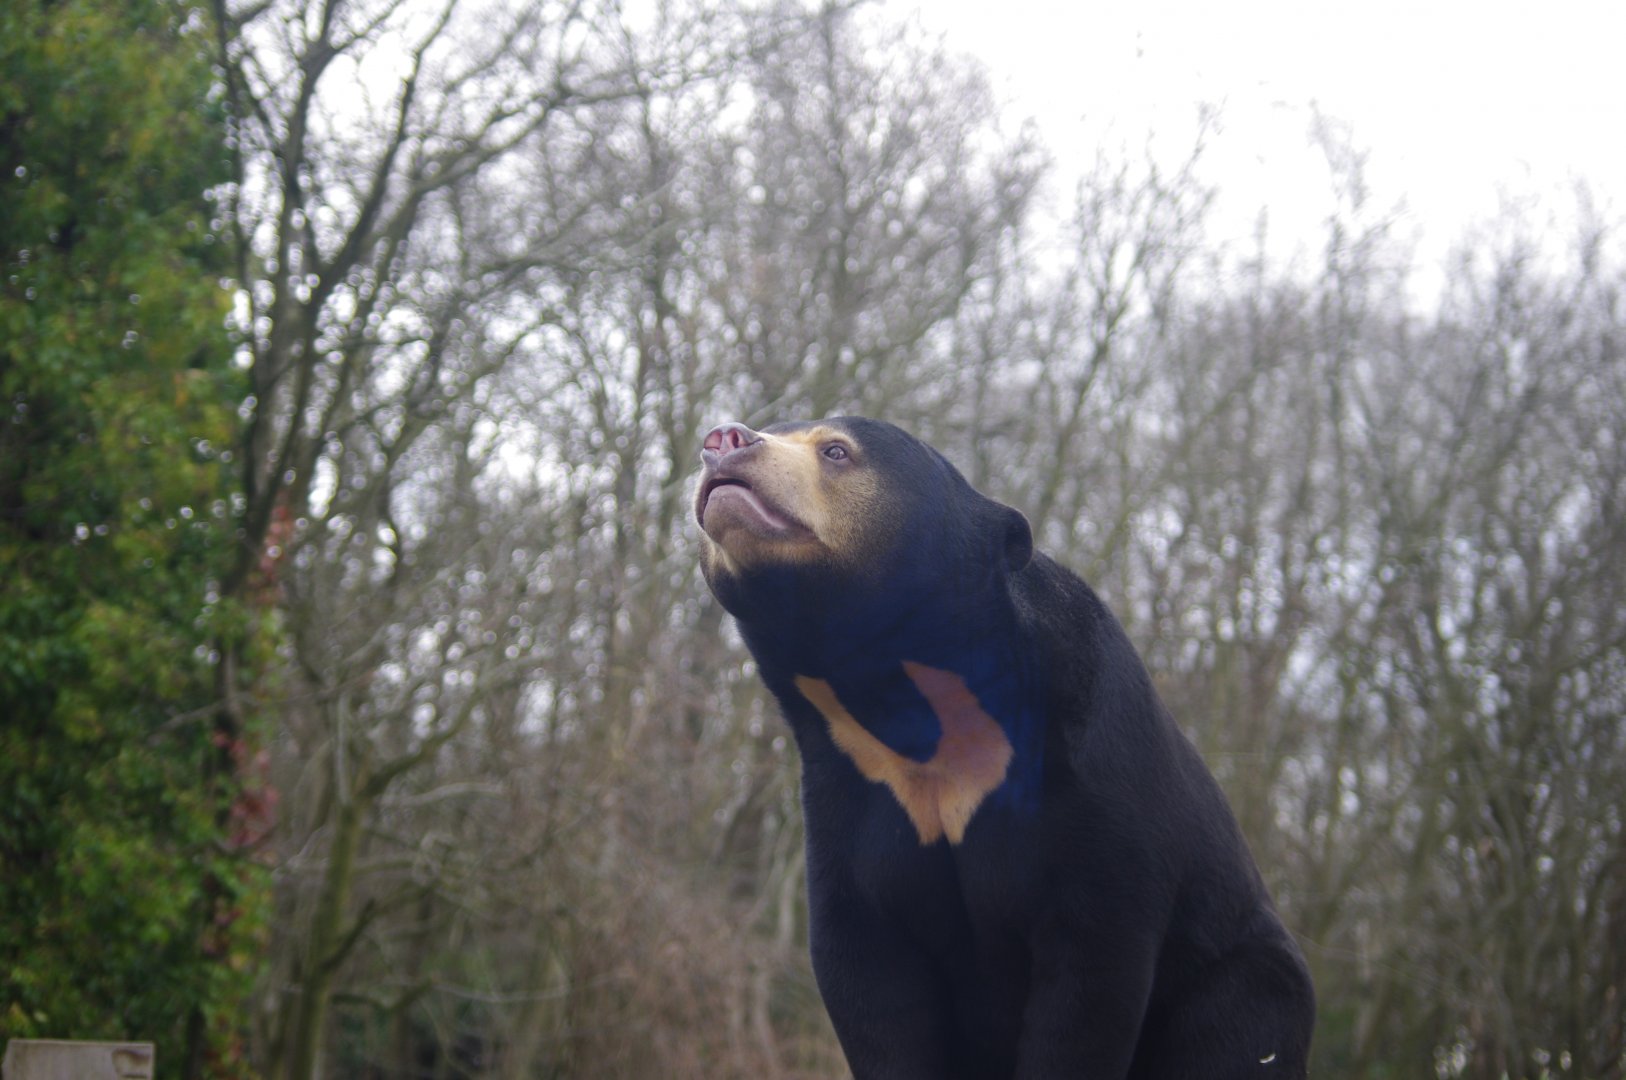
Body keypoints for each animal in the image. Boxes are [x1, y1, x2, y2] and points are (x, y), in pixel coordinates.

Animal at [695, 416, 1315, 1079]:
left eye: (836, 451)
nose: (724, 439)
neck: (913, 702)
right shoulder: (849, 800)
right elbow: (870, 989)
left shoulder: (1101, 794)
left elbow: (1092, 984)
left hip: (1243, 984)